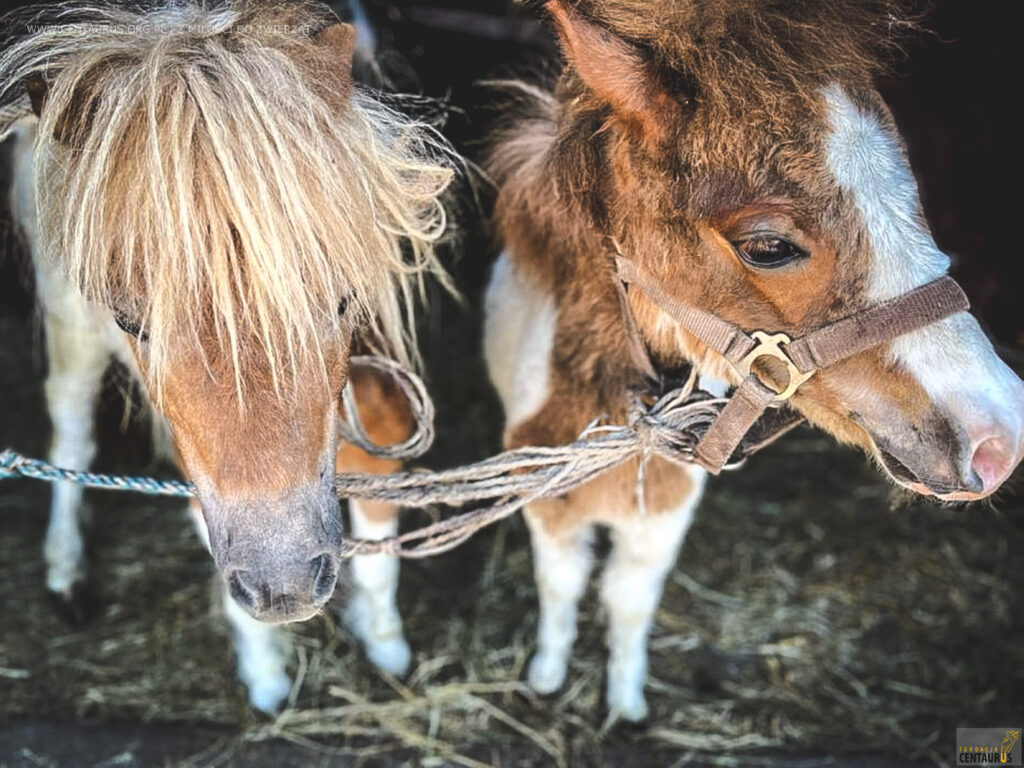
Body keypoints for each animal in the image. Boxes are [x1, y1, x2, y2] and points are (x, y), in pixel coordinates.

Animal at [0, 0, 450, 708]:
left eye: (343, 297)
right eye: (132, 321)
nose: (285, 583)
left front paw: (386, 647)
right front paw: (266, 679)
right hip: (70, 328)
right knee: (70, 433)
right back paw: (66, 573)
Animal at [483, 0, 1024, 724]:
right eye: (768, 247)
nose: (1000, 439)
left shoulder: (663, 517)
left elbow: (628, 602)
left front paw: (625, 700)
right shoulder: (546, 504)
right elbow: (561, 586)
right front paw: (545, 676)